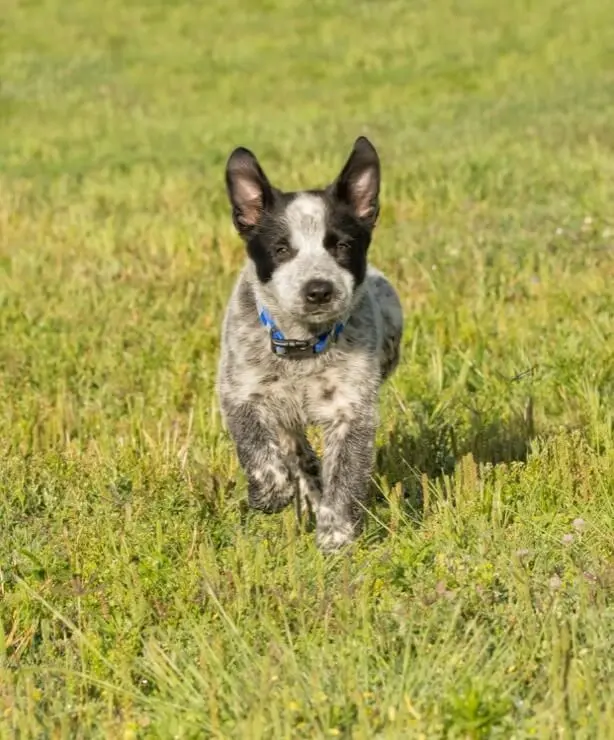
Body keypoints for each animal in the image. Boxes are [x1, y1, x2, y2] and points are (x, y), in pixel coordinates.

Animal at [218, 137, 404, 556]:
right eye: (281, 250)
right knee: (294, 449)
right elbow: (257, 451)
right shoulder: (239, 393)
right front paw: (269, 493)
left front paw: (336, 539)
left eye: (343, 245)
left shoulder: (352, 412)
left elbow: (345, 481)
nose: (319, 290)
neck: (302, 346)